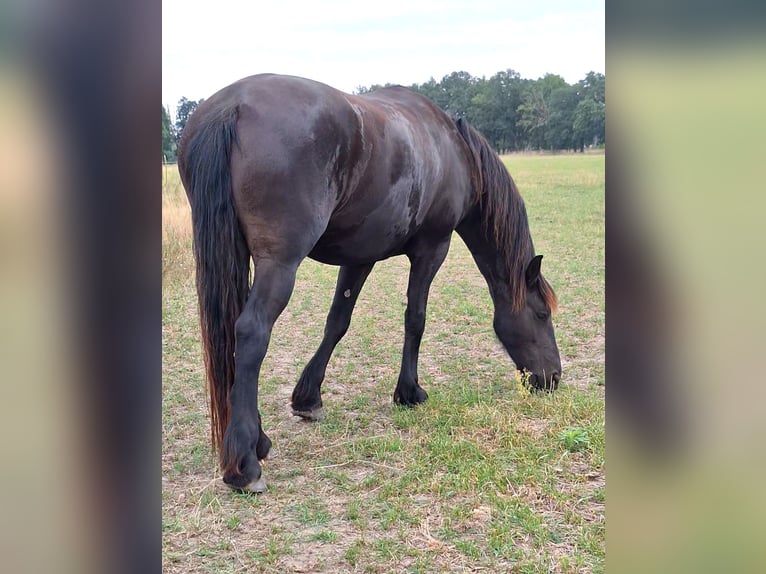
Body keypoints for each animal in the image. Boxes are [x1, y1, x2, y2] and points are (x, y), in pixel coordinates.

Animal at [180, 73, 564, 496]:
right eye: (541, 314)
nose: (553, 377)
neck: (453, 148)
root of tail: (232, 106)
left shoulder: (359, 257)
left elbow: (337, 322)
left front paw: (308, 397)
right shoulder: (432, 249)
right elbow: (416, 319)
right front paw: (409, 391)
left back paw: (258, 441)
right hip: (279, 264)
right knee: (251, 333)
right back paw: (245, 464)